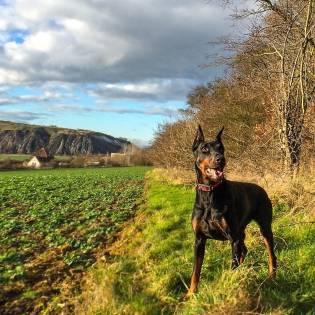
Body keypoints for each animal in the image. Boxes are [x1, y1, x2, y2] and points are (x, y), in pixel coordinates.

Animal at [186, 126, 278, 298]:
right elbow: (196, 271)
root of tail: (261, 189)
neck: (209, 193)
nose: (221, 159)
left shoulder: (232, 238)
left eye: (221, 148)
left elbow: (233, 265)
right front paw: (190, 295)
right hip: (241, 231)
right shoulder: (199, 239)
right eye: (204, 149)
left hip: (264, 228)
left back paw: (272, 277)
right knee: (244, 249)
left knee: (271, 254)